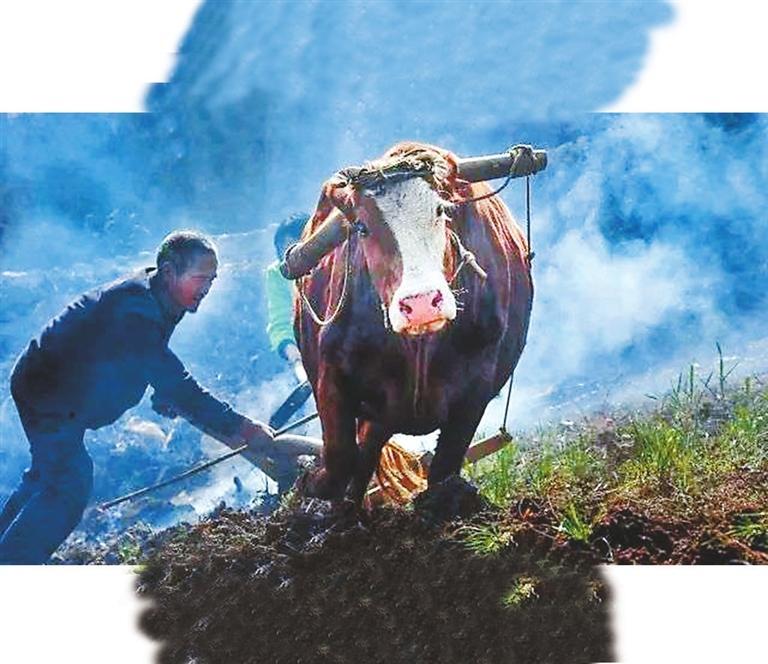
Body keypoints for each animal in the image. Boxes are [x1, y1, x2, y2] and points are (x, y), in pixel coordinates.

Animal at [291, 142, 535, 504]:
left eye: (442, 212)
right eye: (362, 227)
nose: (420, 304)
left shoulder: (476, 387)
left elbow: (444, 470)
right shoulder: (331, 375)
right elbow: (340, 457)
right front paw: (309, 487)